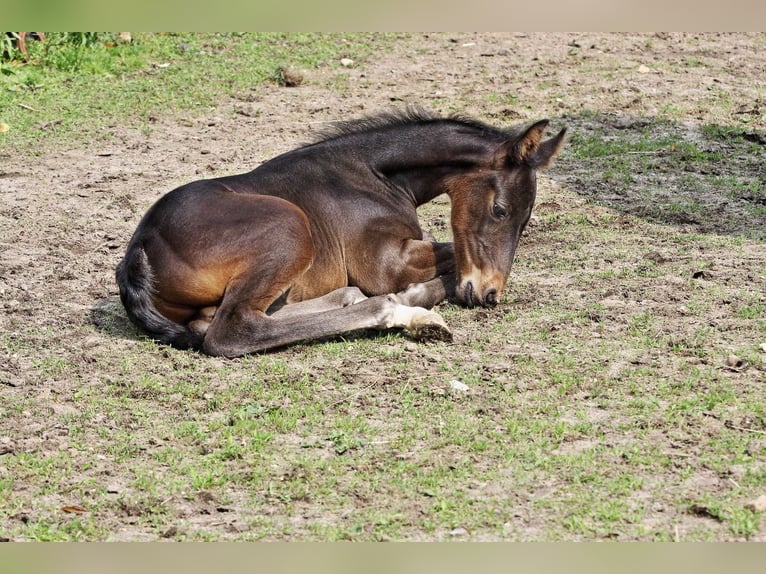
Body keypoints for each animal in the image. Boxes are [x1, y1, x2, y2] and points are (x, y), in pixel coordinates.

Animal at [116, 109, 566, 357]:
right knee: (230, 331)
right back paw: (401, 312)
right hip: (290, 227)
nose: (488, 294)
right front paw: (416, 297)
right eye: (499, 209)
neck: (372, 172)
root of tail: (141, 245)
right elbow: (448, 253)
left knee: (219, 321)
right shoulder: (383, 265)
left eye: (526, 220)